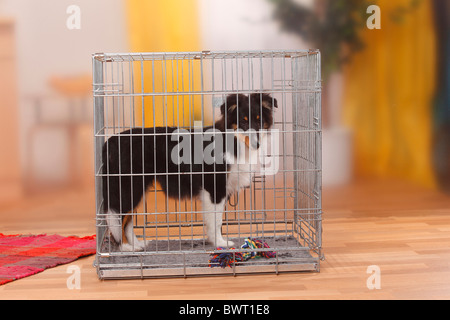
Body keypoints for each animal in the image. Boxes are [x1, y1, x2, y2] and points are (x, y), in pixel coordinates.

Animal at [103, 92, 276, 250]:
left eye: (259, 120)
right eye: (243, 122)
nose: (256, 144)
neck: (233, 140)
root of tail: (110, 141)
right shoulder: (214, 188)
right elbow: (216, 220)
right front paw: (220, 243)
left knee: (126, 220)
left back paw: (137, 245)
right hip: (129, 186)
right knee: (117, 217)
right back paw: (125, 247)